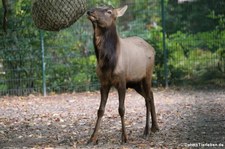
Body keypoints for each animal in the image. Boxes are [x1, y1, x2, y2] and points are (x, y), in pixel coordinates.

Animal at [87, 4, 159, 144]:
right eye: (97, 6)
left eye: (109, 11)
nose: (89, 11)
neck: (108, 62)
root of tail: (152, 49)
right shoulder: (103, 83)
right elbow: (100, 110)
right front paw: (92, 138)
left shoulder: (121, 81)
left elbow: (121, 109)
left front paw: (124, 137)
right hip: (135, 83)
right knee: (150, 96)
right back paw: (154, 127)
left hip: (147, 75)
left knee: (148, 97)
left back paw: (147, 130)